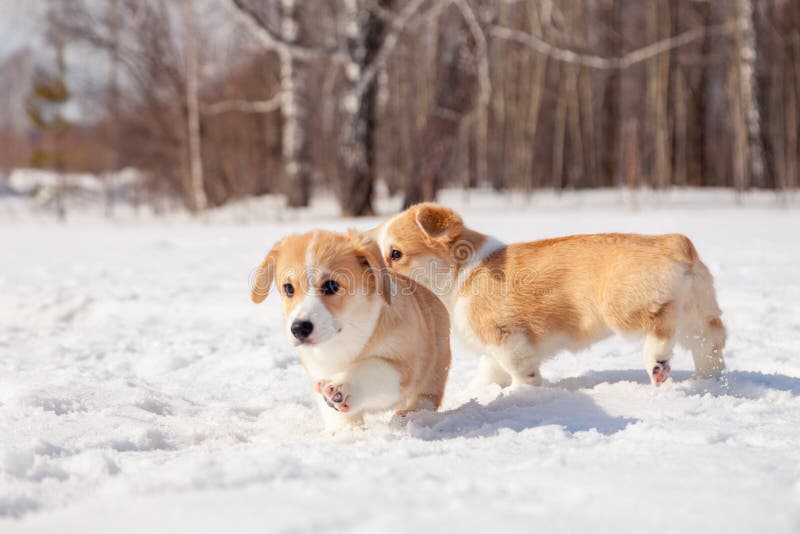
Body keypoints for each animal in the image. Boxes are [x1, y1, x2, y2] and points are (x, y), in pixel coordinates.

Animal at [250, 228, 450, 434]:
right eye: (288, 288)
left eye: (331, 285)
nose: (299, 328)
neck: (343, 339)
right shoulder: (317, 369)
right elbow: (338, 414)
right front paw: (344, 432)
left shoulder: (401, 365)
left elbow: (370, 367)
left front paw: (342, 389)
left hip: (434, 368)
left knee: (426, 396)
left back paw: (409, 415)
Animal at [376, 204, 724, 390]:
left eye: (396, 254)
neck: (459, 271)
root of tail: (675, 243)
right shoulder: (489, 347)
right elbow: (490, 371)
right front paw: (480, 392)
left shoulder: (504, 336)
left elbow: (518, 368)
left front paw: (521, 392)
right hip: (696, 310)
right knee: (711, 340)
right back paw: (706, 378)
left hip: (622, 309)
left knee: (661, 326)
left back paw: (657, 363)